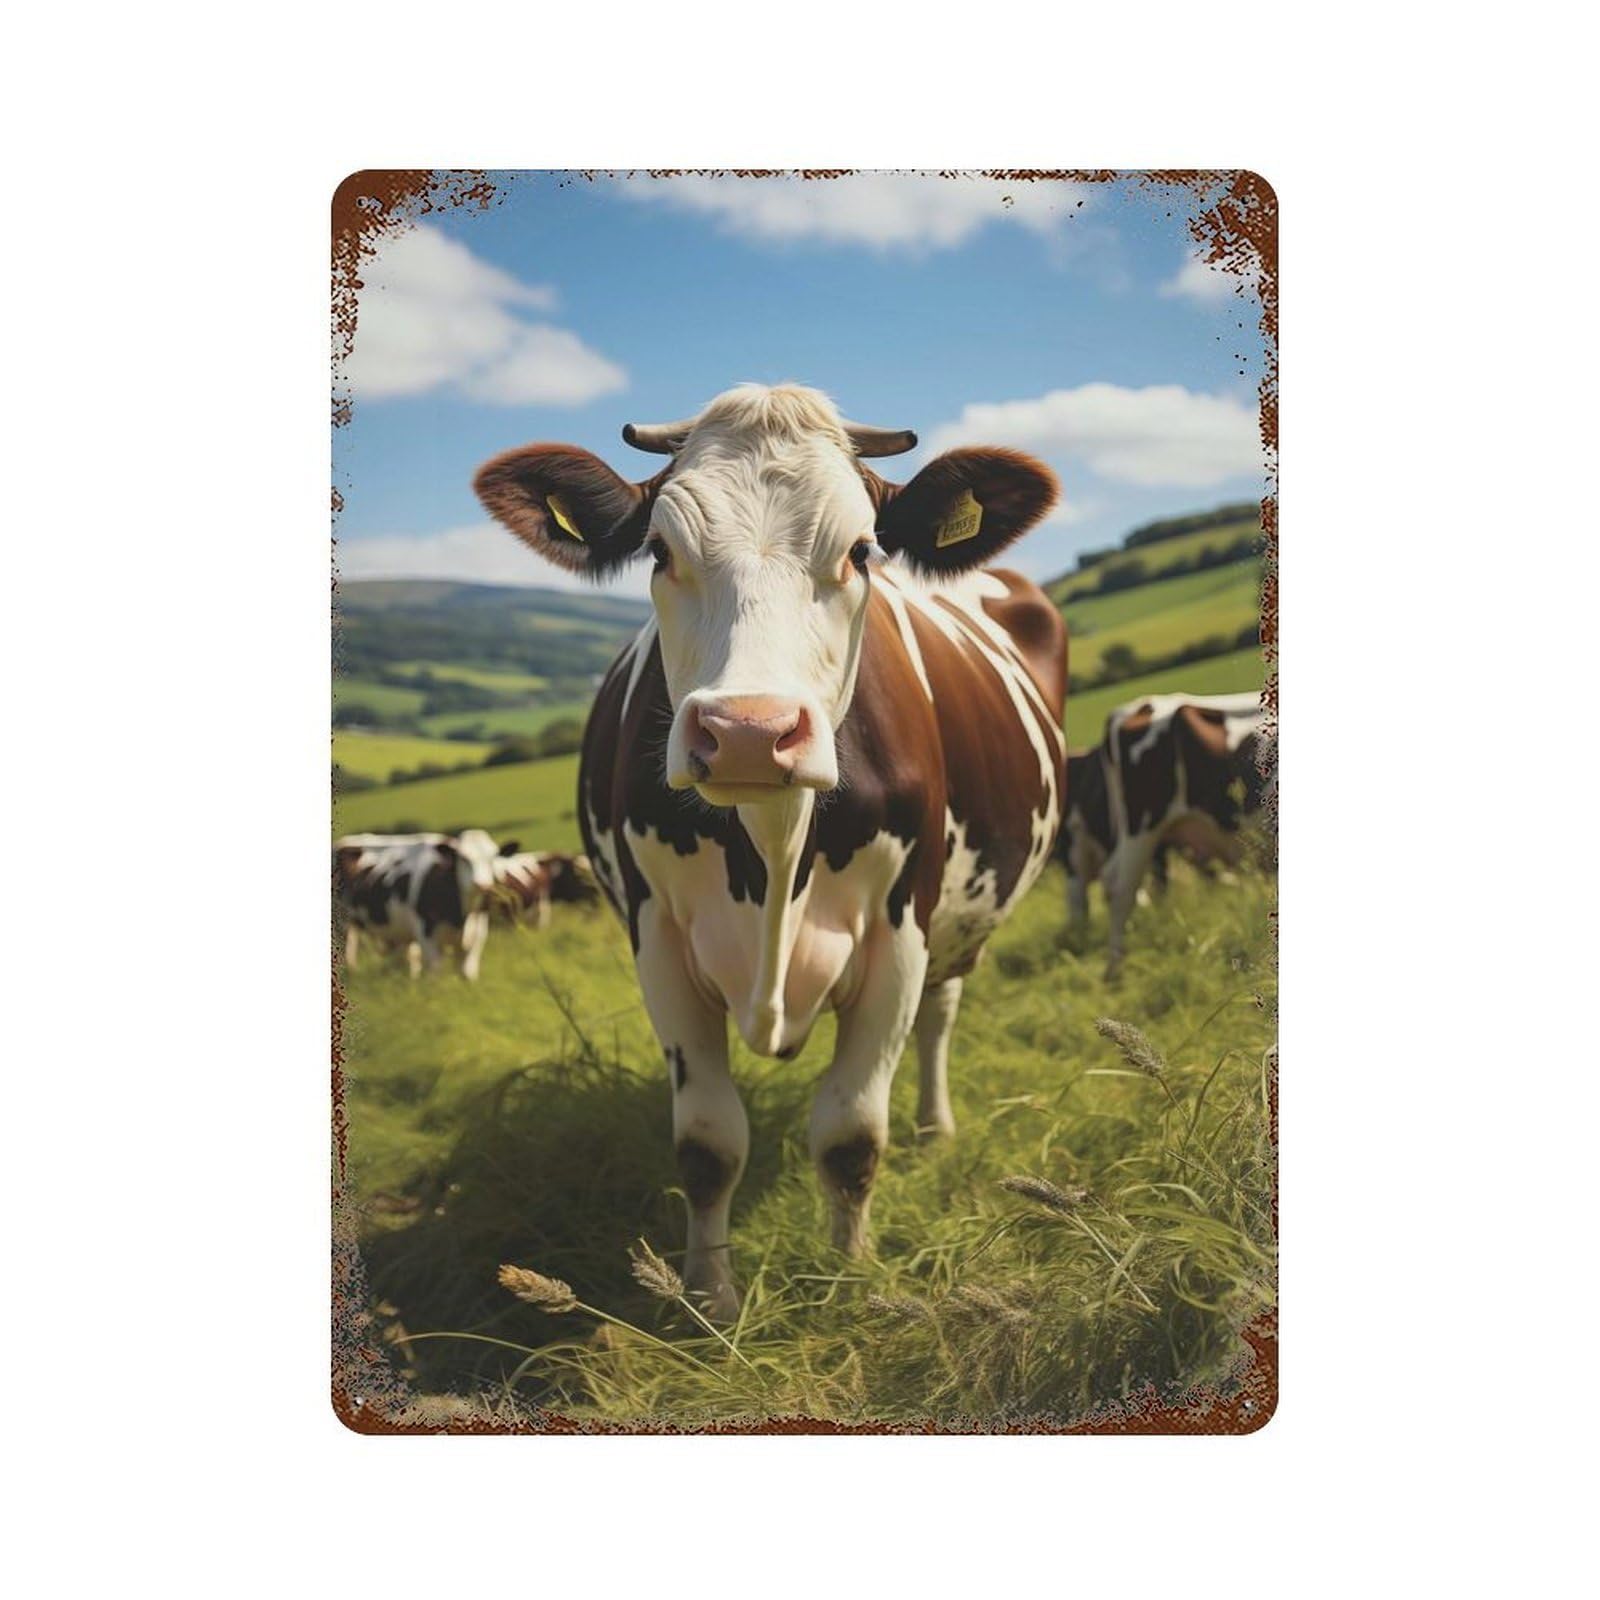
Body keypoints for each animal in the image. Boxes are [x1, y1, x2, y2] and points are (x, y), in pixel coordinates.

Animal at [334, 829, 511, 980]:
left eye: (493, 858)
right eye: (464, 858)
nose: (483, 886)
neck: (461, 917)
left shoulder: (476, 937)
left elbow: (467, 974)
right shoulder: (426, 935)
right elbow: (436, 974)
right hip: (342, 926)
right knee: (347, 954)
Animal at [475, 382, 1066, 1318]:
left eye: (861, 550)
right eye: (659, 550)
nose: (749, 731)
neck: (774, 850)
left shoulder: (899, 932)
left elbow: (852, 1136)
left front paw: (849, 1280)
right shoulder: (658, 942)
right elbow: (709, 1143)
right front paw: (708, 1298)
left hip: (958, 923)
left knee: (940, 1014)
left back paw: (936, 1126)